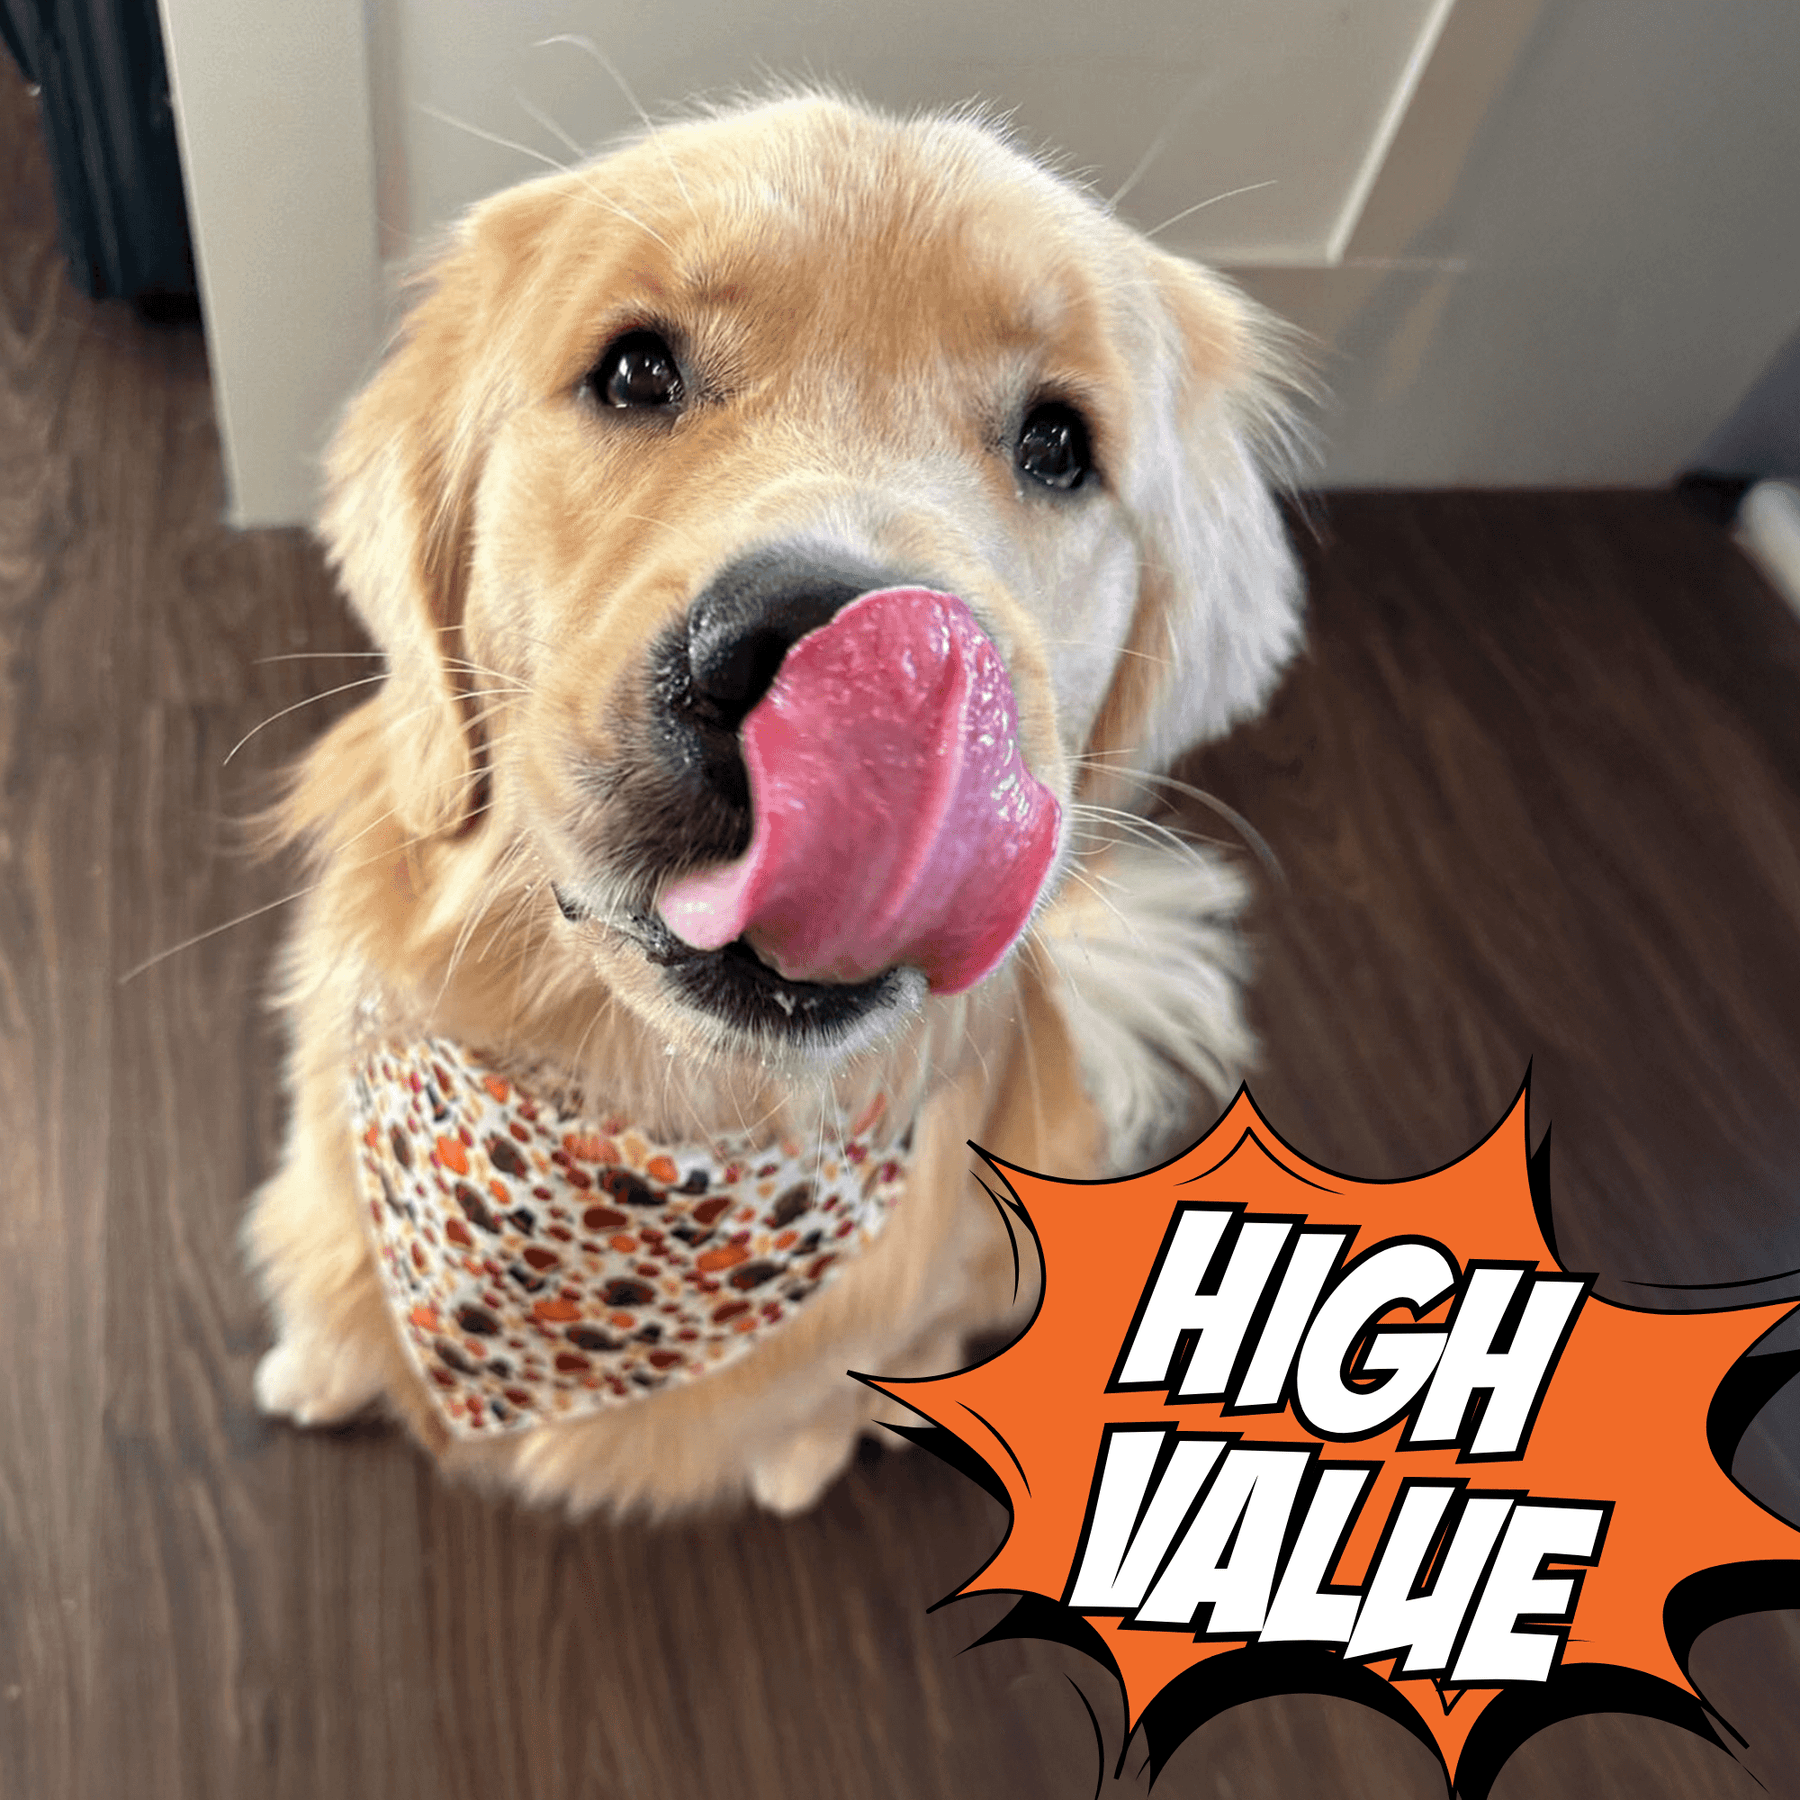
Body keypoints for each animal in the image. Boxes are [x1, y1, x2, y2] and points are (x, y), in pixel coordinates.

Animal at [246, 90, 1304, 1517]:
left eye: (1058, 444)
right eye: (637, 371)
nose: (877, 679)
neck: (660, 1119)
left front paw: (802, 1452)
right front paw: (316, 1364)